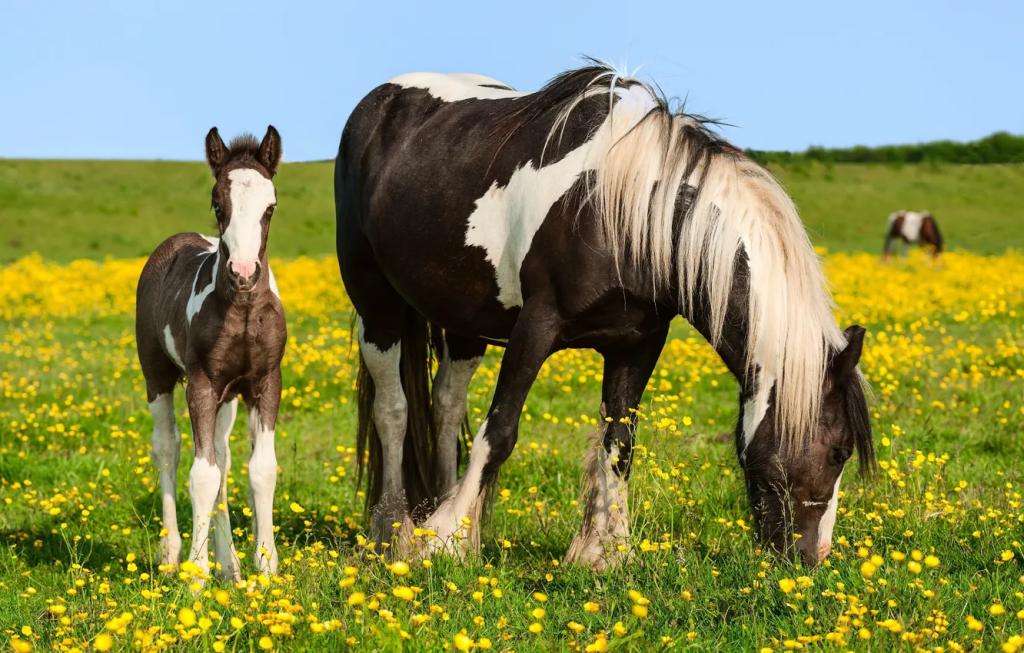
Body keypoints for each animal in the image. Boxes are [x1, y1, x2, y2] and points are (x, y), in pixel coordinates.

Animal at [136, 127, 286, 581]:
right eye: (218, 204)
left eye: (270, 206)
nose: (244, 272)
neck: (243, 309)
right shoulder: (202, 384)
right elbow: (201, 475)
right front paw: (196, 577)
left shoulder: (264, 383)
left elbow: (259, 470)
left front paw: (265, 568)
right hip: (157, 376)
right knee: (168, 448)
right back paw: (173, 554)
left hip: (229, 398)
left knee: (223, 457)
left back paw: (229, 565)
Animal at [333, 63, 872, 569]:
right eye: (840, 451)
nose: (812, 557)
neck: (624, 212)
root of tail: (378, 103)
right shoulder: (536, 327)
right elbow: (499, 431)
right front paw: (445, 541)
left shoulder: (637, 342)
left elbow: (619, 442)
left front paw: (606, 552)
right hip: (377, 306)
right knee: (393, 410)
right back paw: (393, 529)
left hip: (466, 320)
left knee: (445, 405)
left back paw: (436, 510)